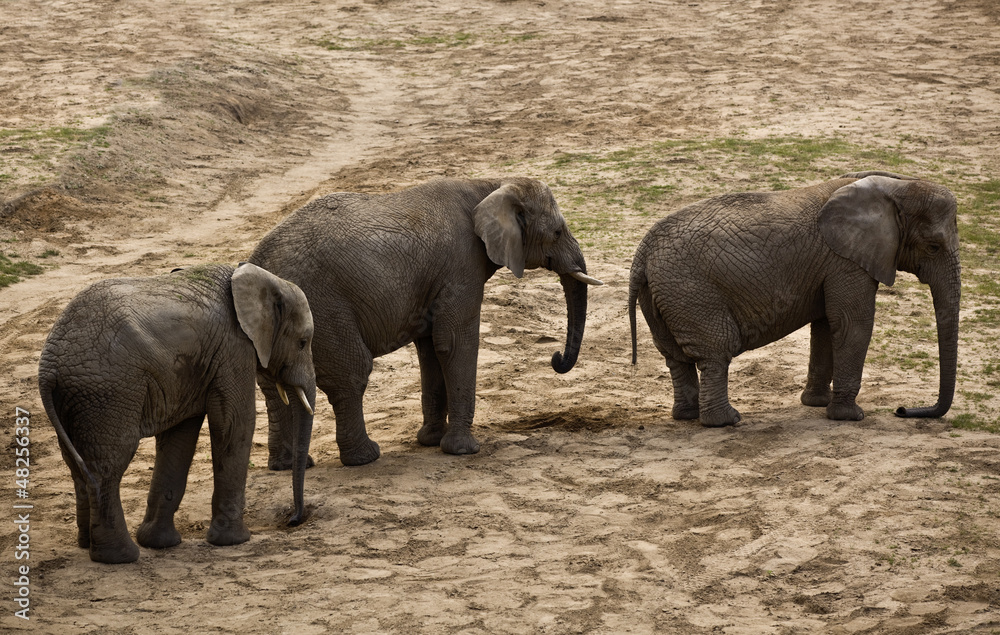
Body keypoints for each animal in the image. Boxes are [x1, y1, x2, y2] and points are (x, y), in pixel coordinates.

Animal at [38, 263, 316, 564]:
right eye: (303, 342)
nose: (294, 520)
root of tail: (48, 366)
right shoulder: (234, 349)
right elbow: (234, 423)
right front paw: (234, 541)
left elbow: (179, 437)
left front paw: (160, 543)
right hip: (107, 392)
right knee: (108, 466)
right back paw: (120, 557)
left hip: (76, 398)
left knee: (78, 465)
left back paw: (86, 545)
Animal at [249, 176, 602, 467]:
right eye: (557, 232)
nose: (555, 358)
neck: (490, 185)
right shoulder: (461, 266)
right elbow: (455, 343)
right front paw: (462, 451)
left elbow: (431, 348)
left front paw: (431, 441)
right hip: (322, 306)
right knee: (351, 374)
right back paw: (365, 457)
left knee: (276, 387)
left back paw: (289, 465)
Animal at [628, 171, 960, 427]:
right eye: (933, 247)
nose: (902, 410)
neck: (894, 186)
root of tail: (642, 254)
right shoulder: (845, 261)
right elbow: (853, 324)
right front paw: (851, 417)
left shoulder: (832, 264)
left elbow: (826, 326)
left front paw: (816, 404)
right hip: (691, 292)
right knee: (715, 352)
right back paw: (726, 421)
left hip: (663, 295)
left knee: (675, 357)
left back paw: (687, 416)